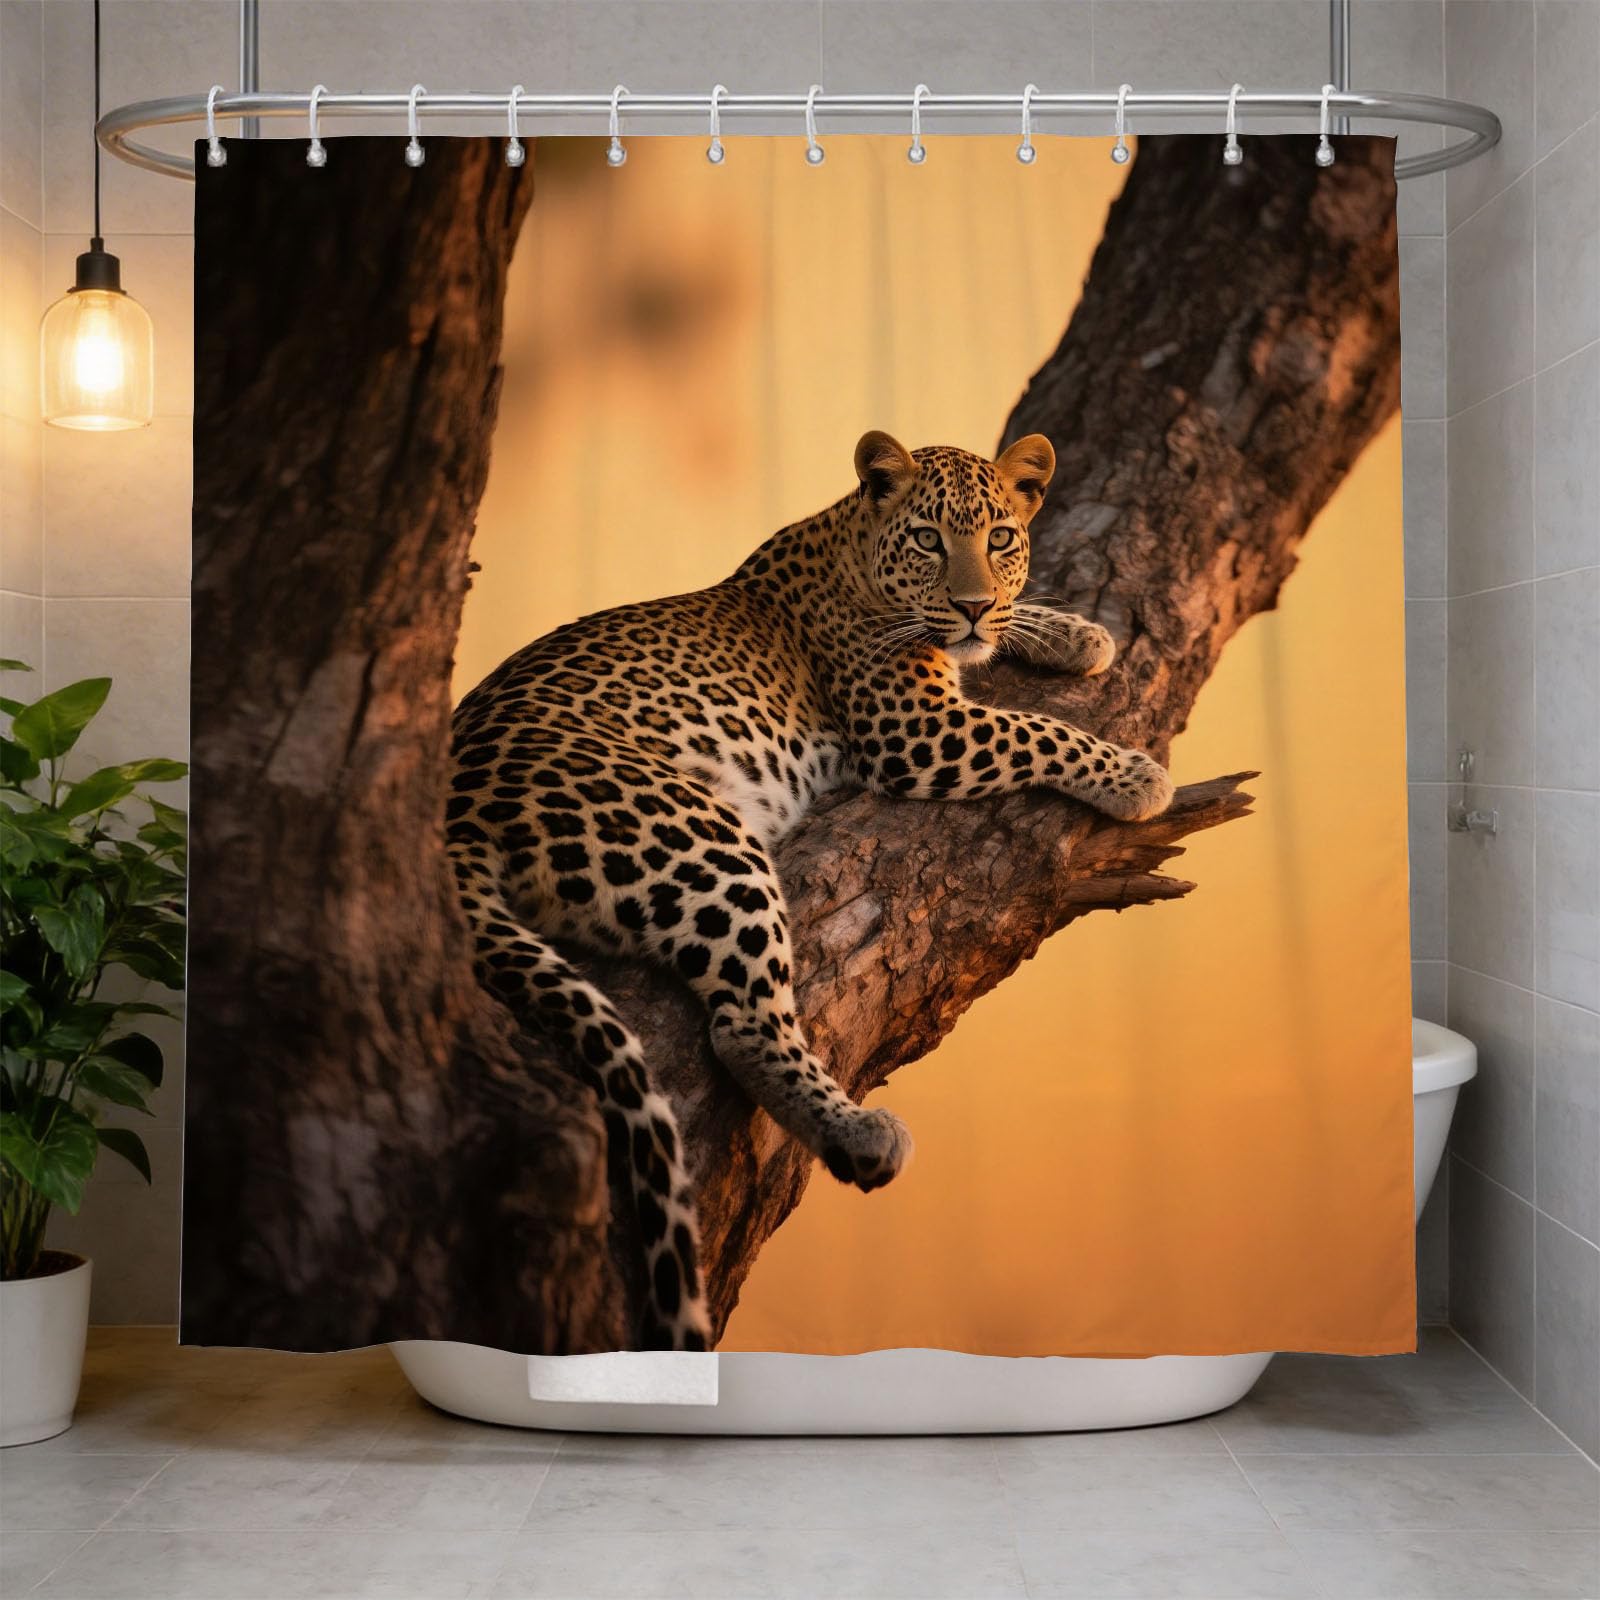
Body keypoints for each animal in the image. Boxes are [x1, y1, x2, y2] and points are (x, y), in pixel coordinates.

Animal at [447, 430, 1174, 1350]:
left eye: (1001, 537)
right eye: (928, 539)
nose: (973, 605)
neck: (851, 543)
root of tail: (452, 816)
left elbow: (1010, 643)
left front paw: (1072, 632)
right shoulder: (917, 733)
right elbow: (1035, 730)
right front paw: (1132, 774)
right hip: (704, 838)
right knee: (742, 1025)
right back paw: (856, 1131)